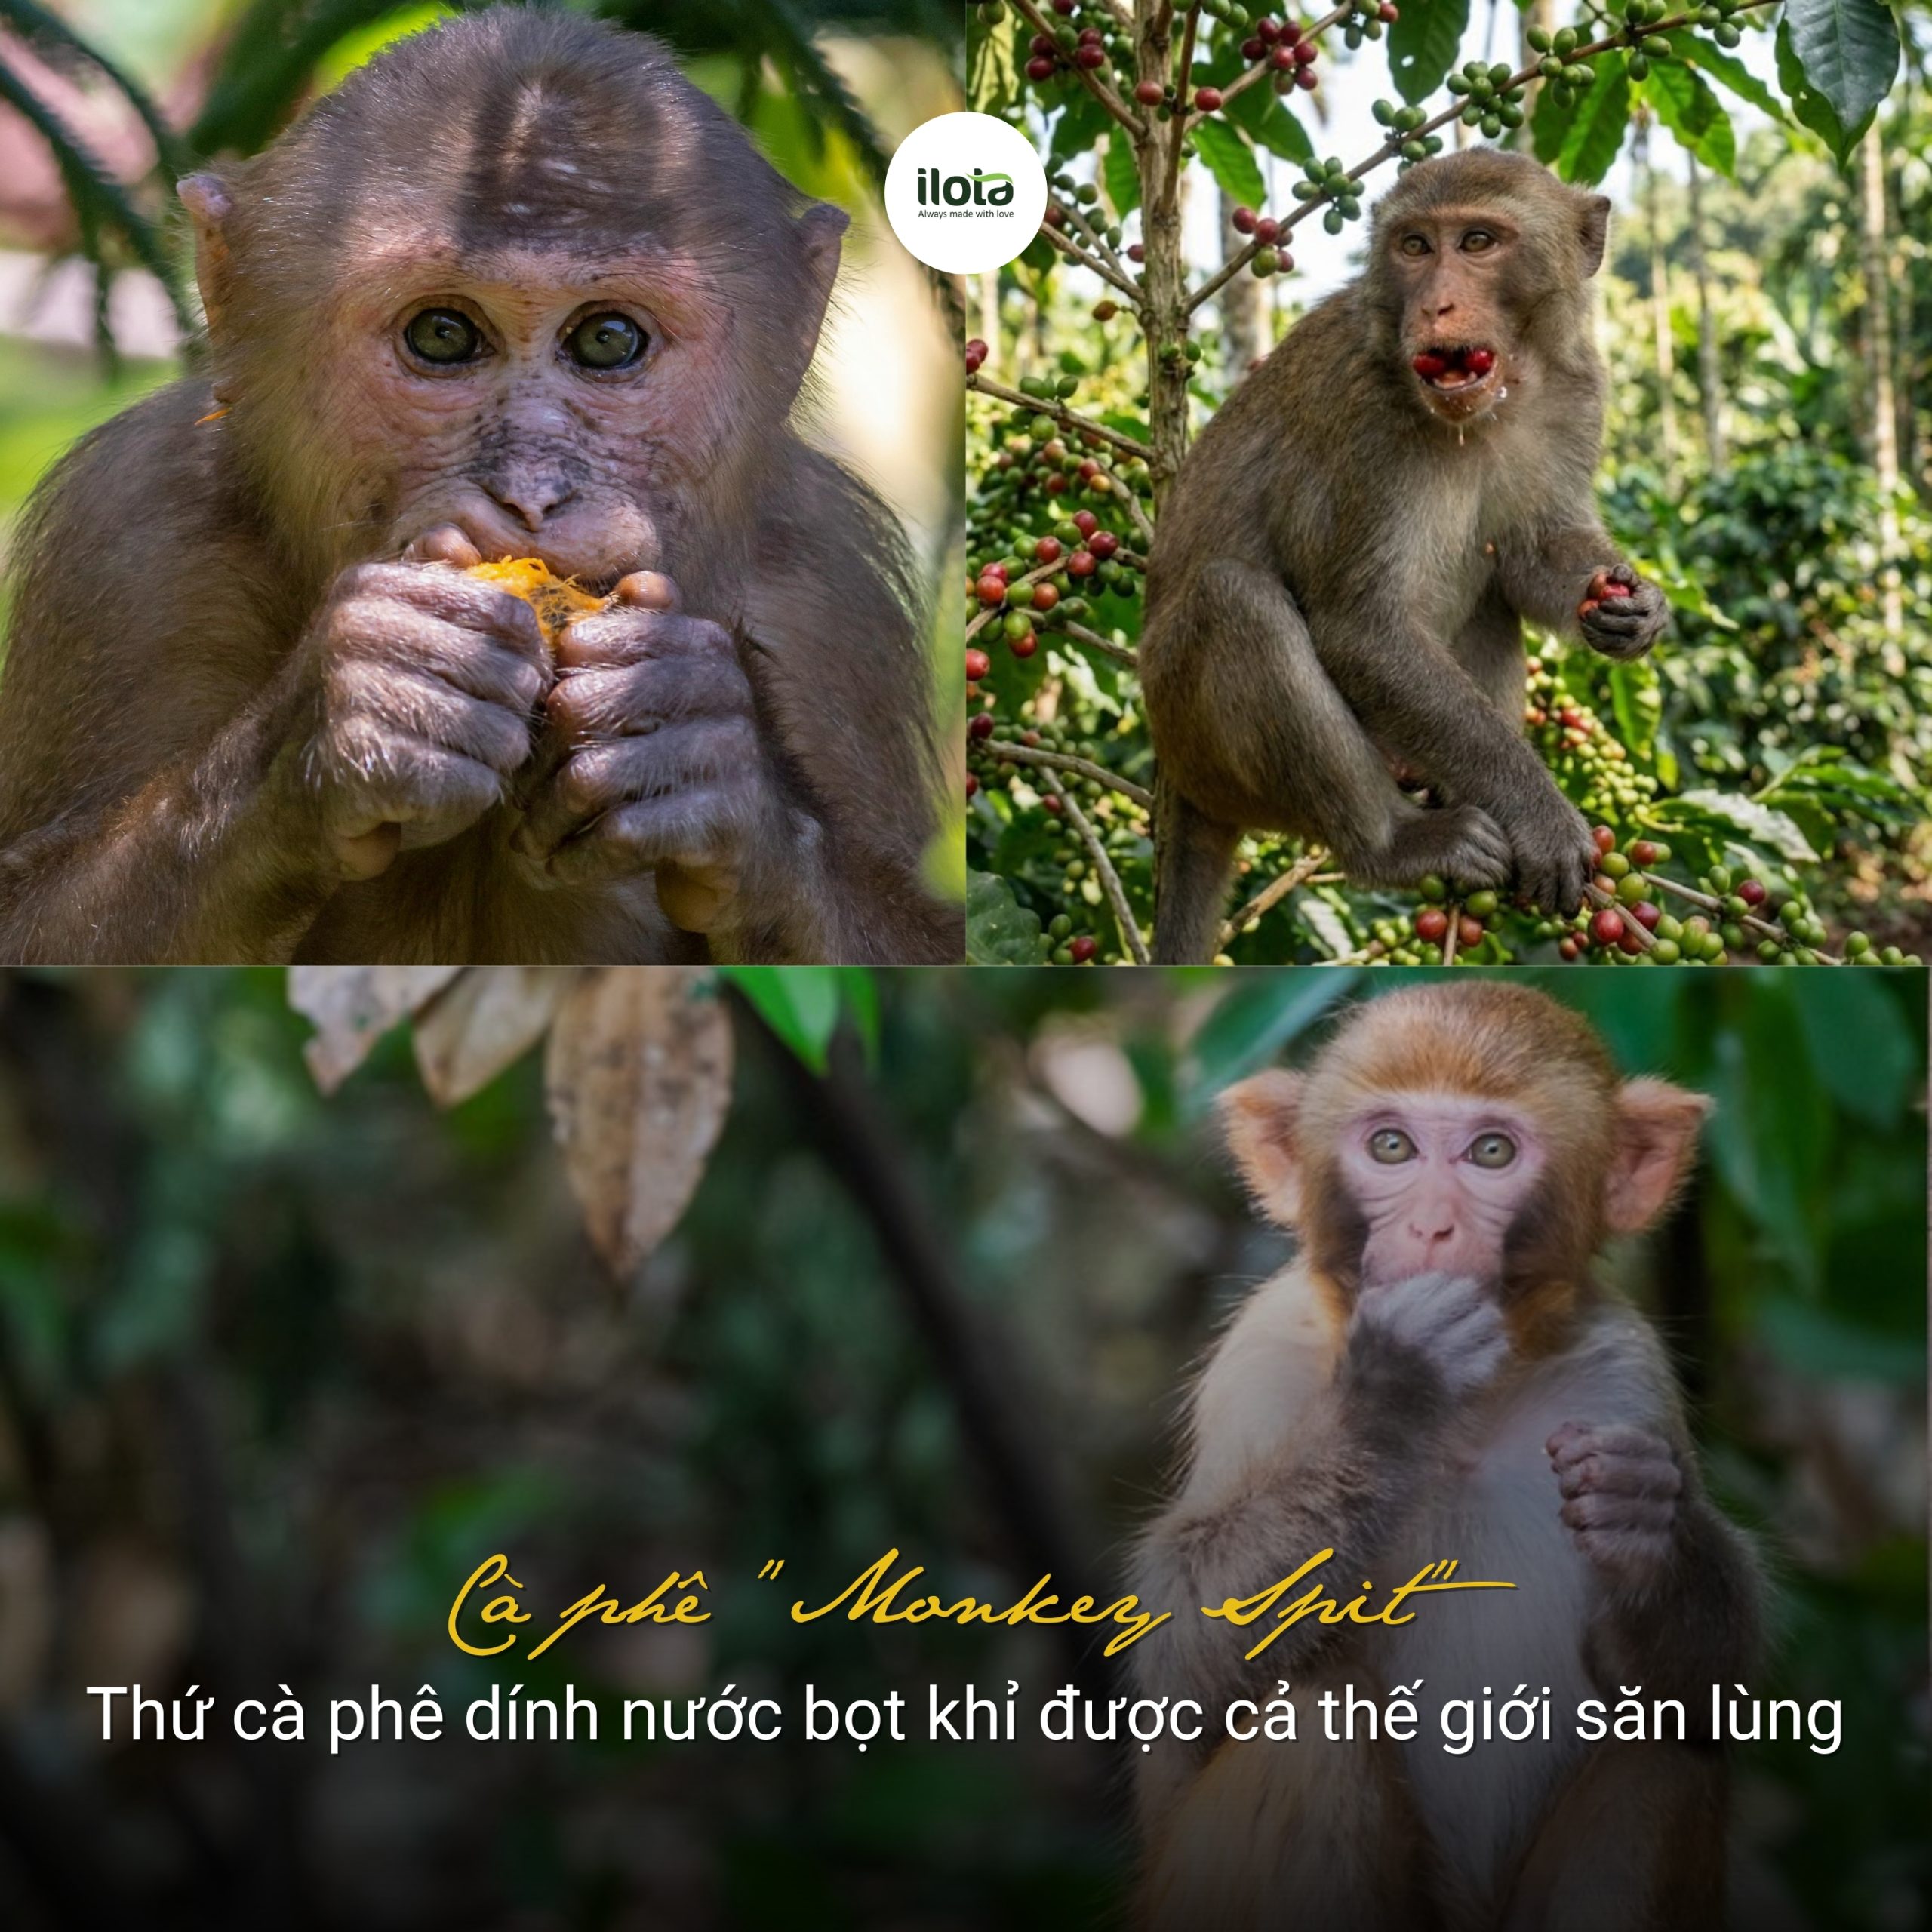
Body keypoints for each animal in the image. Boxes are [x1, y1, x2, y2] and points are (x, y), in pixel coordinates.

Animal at [0, 9, 957, 966]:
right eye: (442, 334)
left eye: (607, 339)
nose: (531, 493)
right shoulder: (130, 532)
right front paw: (350, 708)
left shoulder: (830, 596)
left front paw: (713, 761)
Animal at [1129, 982, 1761, 1932]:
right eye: (1390, 1146)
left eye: (1490, 1152)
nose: (1431, 1228)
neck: (1468, 1423)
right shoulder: (1261, 1361)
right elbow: (1176, 1666)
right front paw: (1394, 1389)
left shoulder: (1622, 1377)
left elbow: (1719, 1701)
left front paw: (1649, 1524)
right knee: (1307, 1730)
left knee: (1663, 1756)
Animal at [1139, 149, 1671, 964]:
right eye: (1416, 247)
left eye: (1478, 242)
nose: (1436, 309)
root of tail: (1178, 778)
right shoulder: (1363, 423)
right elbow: (1362, 628)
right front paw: (1540, 815)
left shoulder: (1578, 390)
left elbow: (1531, 553)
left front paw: (1633, 608)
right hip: (1194, 734)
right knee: (1235, 601)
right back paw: (1395, 842)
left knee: (1490, 599)